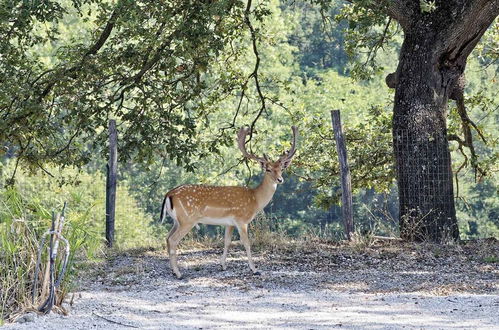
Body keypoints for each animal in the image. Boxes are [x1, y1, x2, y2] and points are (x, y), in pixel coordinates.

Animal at [160, 126, 296, 278]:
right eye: (268, 169)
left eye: (281, 168)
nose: (280, 179)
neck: (255, 200)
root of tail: (168, 194)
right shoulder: (241, 220)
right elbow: (246, 243)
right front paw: (254, 269)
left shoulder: (229, 223)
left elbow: (227, 242)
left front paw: (223, 265)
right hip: (188, 219)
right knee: (173, 240)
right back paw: (179, 273)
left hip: (177, 220)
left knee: (167, 237)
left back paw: (173, 270)